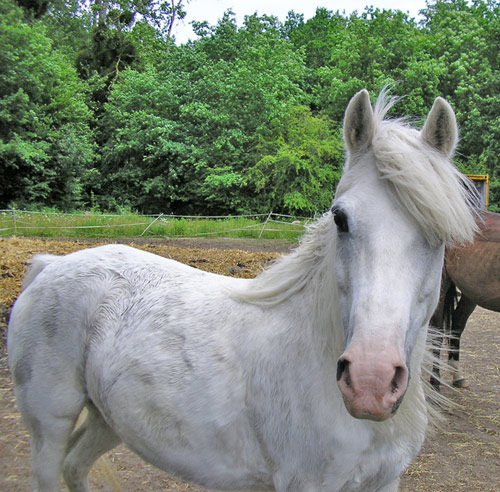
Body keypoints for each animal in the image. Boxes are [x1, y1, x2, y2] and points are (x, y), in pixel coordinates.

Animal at [7, 89, 476, 492]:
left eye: (441, 235)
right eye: (340, 218)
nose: (370, 382)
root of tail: (50, 266)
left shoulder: (385, 481)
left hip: (109, 419)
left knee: (75, 465)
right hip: (48, 425)